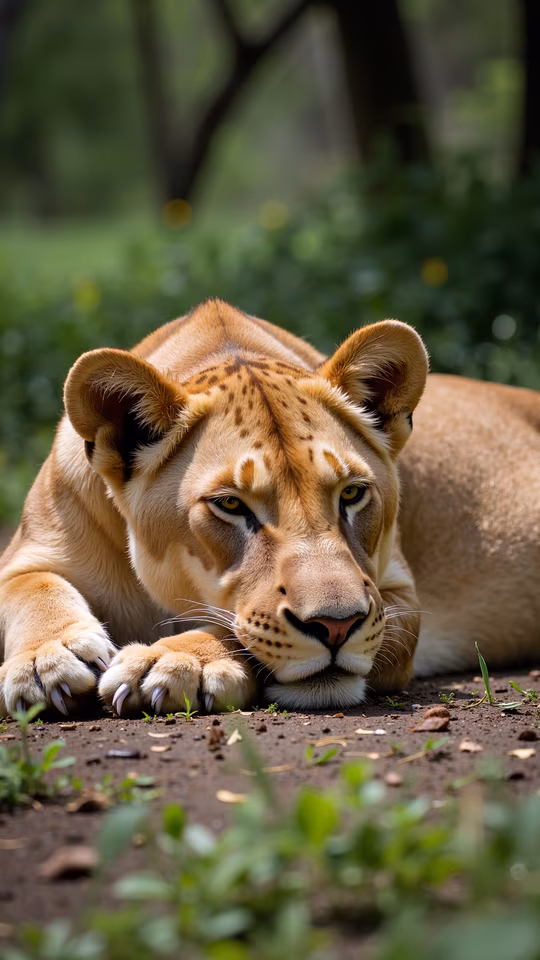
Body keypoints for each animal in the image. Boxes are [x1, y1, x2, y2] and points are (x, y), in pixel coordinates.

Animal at [0, 299, 538, 717]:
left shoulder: (398, 595)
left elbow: (236, 626)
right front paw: (48, 660)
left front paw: (180, 661)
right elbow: (32, 588)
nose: (336, 626)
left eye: (351, 494)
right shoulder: (27, 553)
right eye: (230, 504)